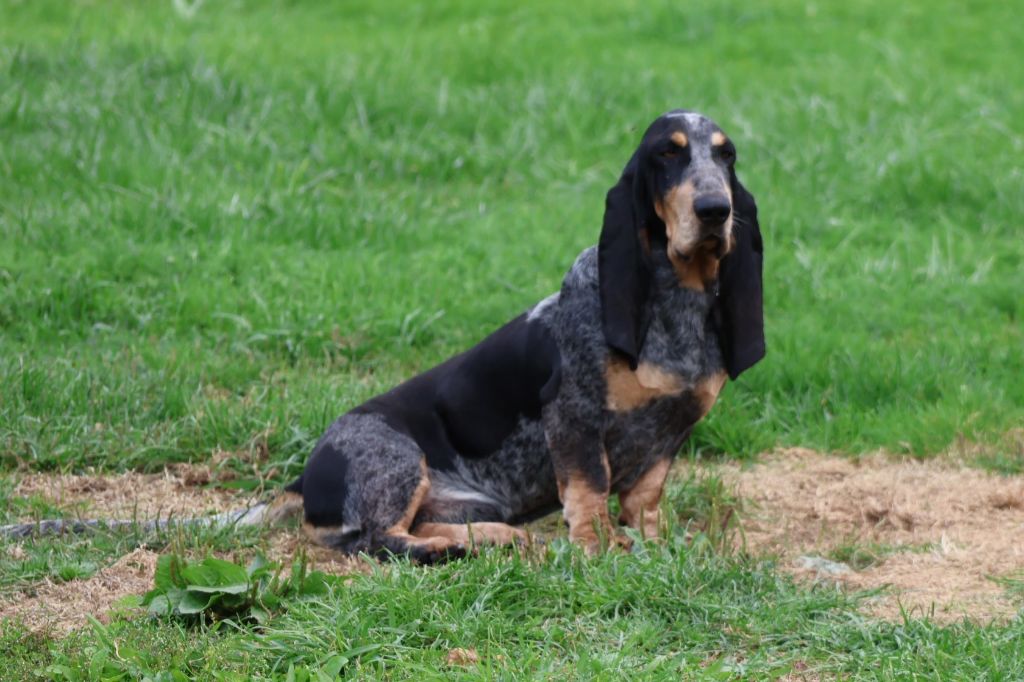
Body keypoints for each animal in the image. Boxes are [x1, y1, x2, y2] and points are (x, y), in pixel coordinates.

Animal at [276, 109, 765, 561]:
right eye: (667, 153)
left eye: (726, 155)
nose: (714, 210)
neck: (679, 299)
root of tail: (303, 479)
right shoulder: (572, 414)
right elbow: (589, 487)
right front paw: (596, 547)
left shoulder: (673, 429)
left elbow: (646, 499)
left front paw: (655, 546)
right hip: (395, 460)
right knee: (379, 540)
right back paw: (447, 549)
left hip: (470, 503)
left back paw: (496, 537)